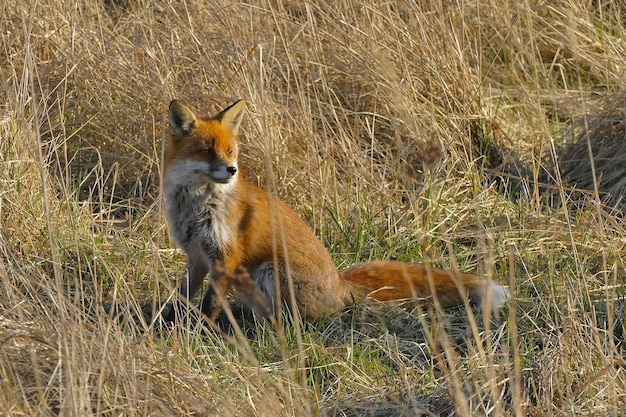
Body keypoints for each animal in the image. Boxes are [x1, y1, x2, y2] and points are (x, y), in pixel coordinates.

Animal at [162, 99, 508, 324]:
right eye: (206, 151)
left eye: (230, 151)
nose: (232, 170)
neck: (196, 206)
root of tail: (340, 283)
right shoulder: (197, 255)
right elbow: (182, 297)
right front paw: (168, 326)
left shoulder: (225, 256)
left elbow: (209, 304)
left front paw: (202, 332)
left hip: (271, 272)